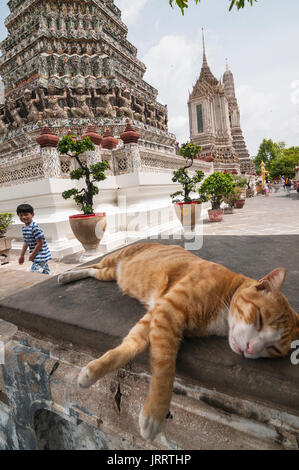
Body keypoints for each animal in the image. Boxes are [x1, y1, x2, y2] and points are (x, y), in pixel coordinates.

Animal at [57, 244, 298, 442]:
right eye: (259, 318)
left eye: (273, 349)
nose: (251, 349)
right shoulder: (167, 311)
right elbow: (165, 368)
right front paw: (155, 414)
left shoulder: (157, 316)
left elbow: (131, 344)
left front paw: (93, 370)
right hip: (114, 259)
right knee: (93, 264)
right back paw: (65, 276)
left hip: (109, 275)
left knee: (95, 271)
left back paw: (68, 277)